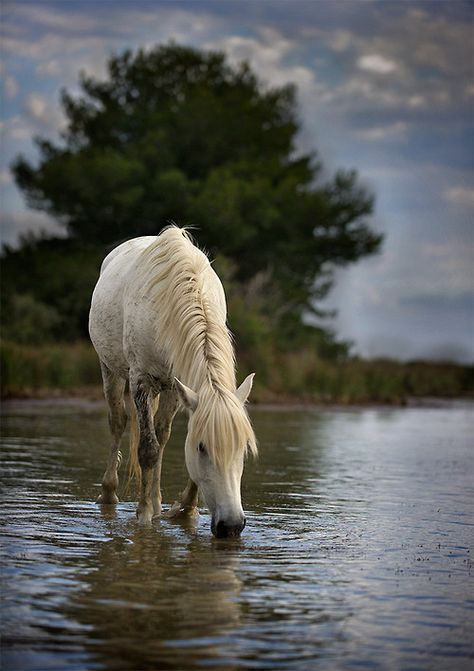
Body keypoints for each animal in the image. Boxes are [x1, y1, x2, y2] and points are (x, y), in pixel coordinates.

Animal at [90, 228, 258, 540]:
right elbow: (147, 449)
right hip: (110, 369)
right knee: (118, 422)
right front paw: (144, 515)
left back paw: (157, 502)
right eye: (202, 448)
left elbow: (164, 442)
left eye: (242, 449)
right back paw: (109, 494)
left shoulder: (178, 387)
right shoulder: (141, 381)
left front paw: (185, 509)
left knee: (161, 433)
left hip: (167, 389)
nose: (231, 526)